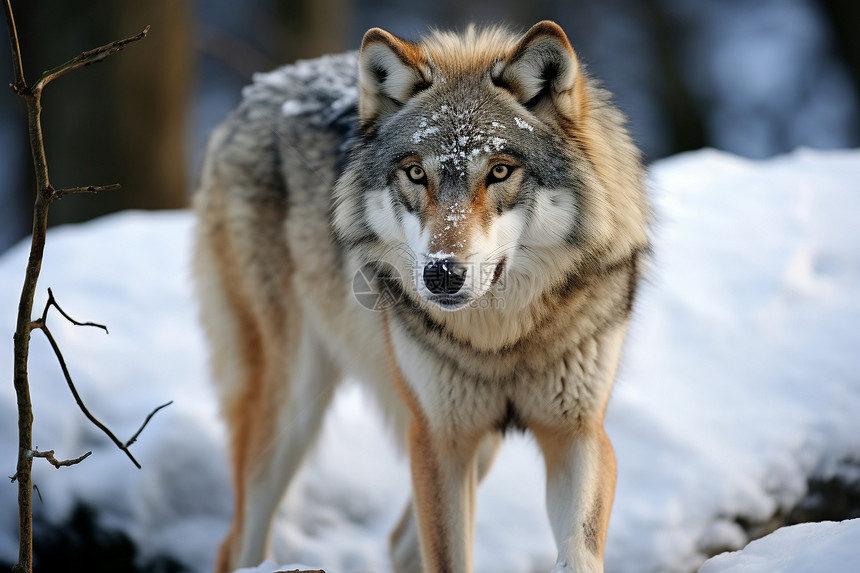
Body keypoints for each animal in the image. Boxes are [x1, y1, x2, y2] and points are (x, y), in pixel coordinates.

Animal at [193, 20, 652, 572]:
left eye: (499, 171)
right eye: (416, 173)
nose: (441, 275)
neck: (503, 339)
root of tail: (260, 89)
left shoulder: (577, 434)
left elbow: (578, 551)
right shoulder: (436, 437)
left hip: (477, 445)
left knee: (398, 542)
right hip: (289, 409)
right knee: (238, 543)